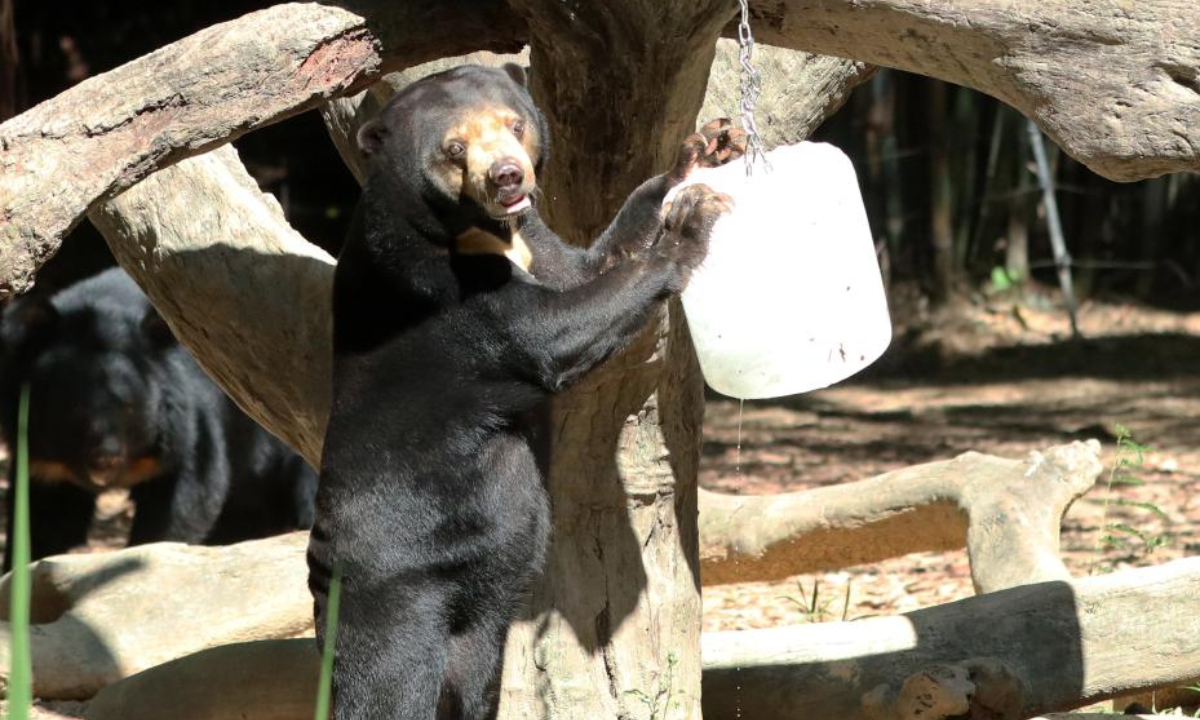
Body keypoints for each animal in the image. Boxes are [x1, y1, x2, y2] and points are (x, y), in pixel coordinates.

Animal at [0, 267, 318, 568]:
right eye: (74, 407)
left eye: (127, 406)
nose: (105, 458)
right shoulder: (41, 460)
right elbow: (44, 518)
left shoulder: (188, 425)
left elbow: (189, 496)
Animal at [308, 62, 742, 720]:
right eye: (454, 148)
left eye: (514, 124)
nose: (509, 176)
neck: (485, 229)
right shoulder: (436, 284)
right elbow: (553, 329)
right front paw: (691, 221)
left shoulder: (536, 238)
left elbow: (587, 266)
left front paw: (698, 155)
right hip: (393, 582)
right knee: (387, 684)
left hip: (483, 593)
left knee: (472, 673)